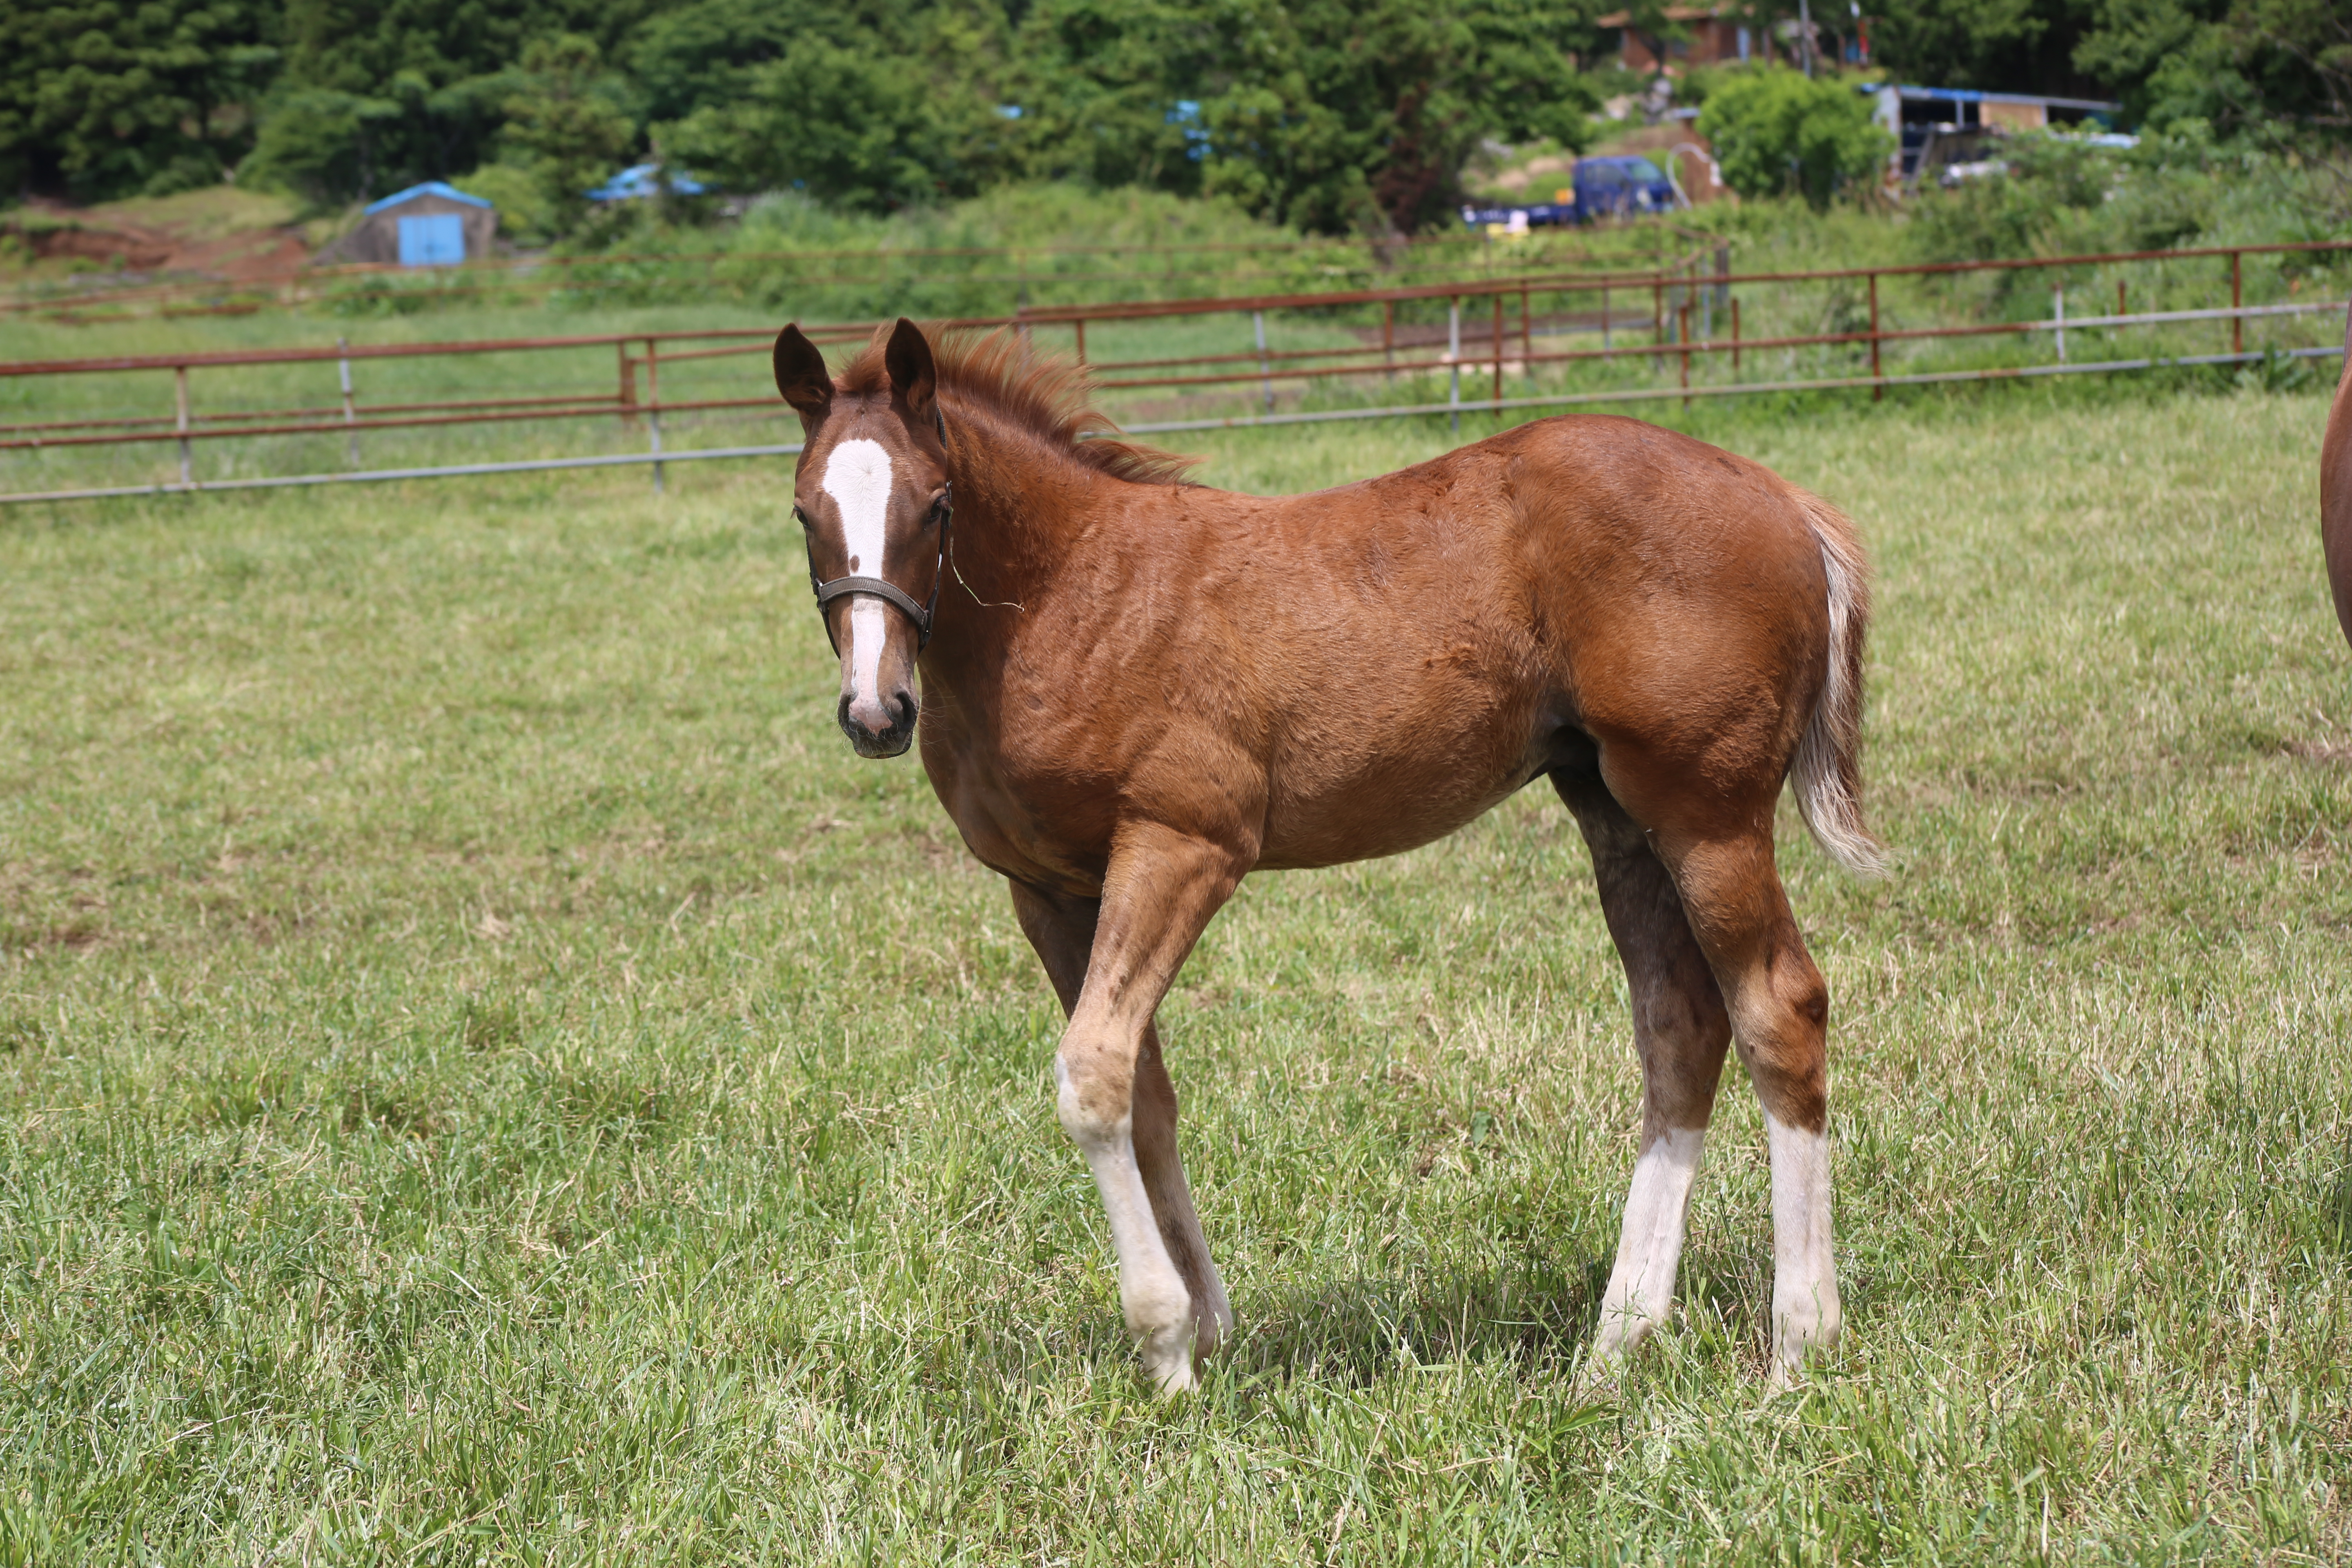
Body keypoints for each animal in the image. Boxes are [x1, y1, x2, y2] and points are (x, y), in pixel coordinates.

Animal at [781, 315, 1882, 1382]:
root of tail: (1784, 498)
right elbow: (1145, 1091)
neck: (1069, 592)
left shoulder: (1184, 846)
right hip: (1616, 814)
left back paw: (1798, 1345)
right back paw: (1615, 1345)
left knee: (1778, 1008)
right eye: (803, 514)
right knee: (1679, 1026)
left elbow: (1093, 1078)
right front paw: (1208, 1329)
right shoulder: (1047, 889)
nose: (876, 712)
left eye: (935, 505)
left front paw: (1163, 1347)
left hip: (1707, 815)